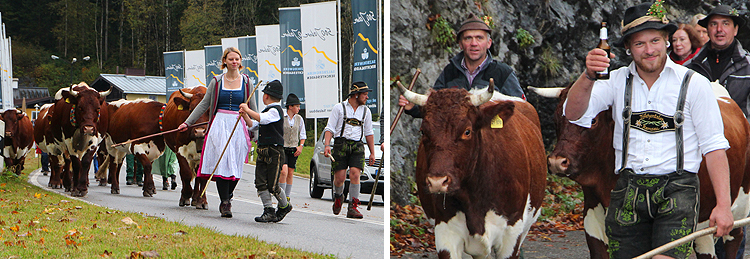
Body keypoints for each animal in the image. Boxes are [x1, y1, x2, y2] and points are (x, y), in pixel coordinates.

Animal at [532, 84, 750, 259]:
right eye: (555, 119)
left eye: (592, 121)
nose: (556, 161)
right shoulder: (593, 221)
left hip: (737, 209)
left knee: (733, 239)